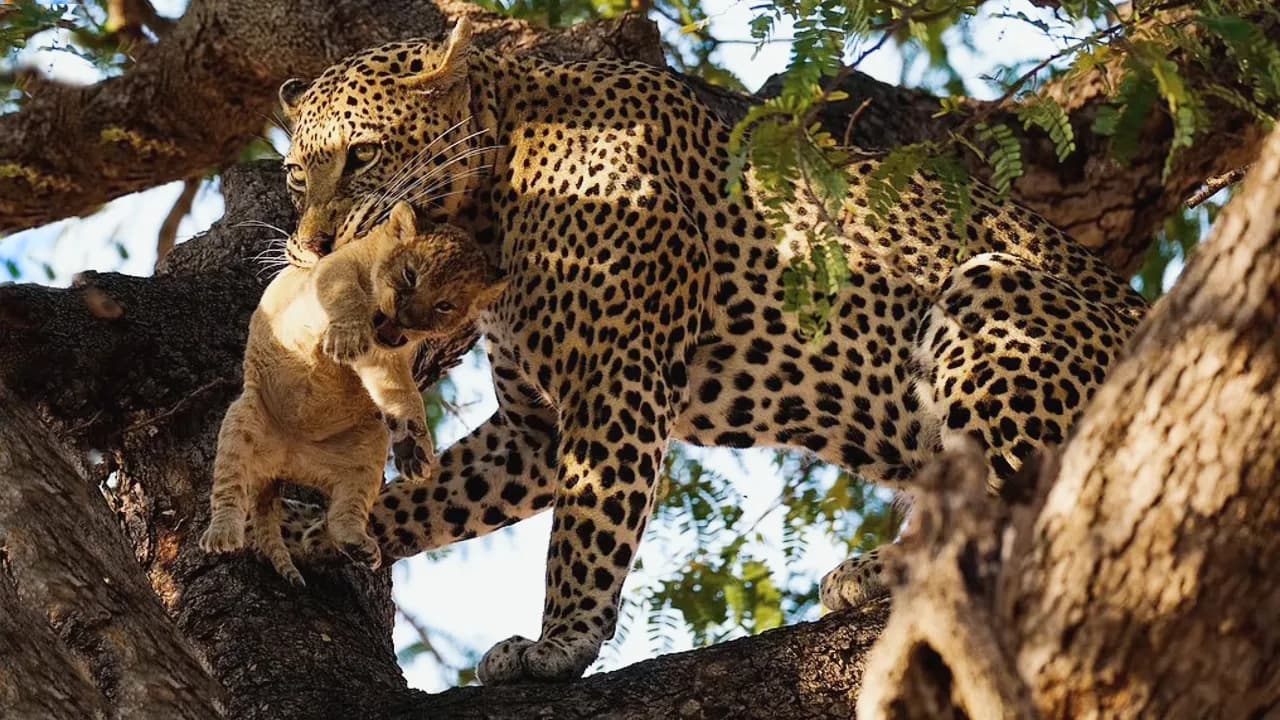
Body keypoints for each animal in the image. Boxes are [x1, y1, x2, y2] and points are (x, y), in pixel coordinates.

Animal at [200, 197, 504, 584]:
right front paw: (346, 338)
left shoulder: (389, 361)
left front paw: (416, 447)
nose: (405, 321)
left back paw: (357, 543)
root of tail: (287, 458)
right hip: (244, 419)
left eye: (445, 306)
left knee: (345, 510)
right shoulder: (332, 270)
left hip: (368, 448)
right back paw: (222, 533)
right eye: (410, 275)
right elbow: (347, 294)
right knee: (230, 487)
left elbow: (402, 393)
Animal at [272, 14, 1152, 676]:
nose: (311, 248)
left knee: (1022, 505)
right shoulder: (534, 429)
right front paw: (317, 533)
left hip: (990, 289)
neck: (492, 199)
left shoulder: (614, 378)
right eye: (294, 178)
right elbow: (435, 500)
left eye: (362, 155)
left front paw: (560, 643)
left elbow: (587, 528)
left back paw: (879, 568)